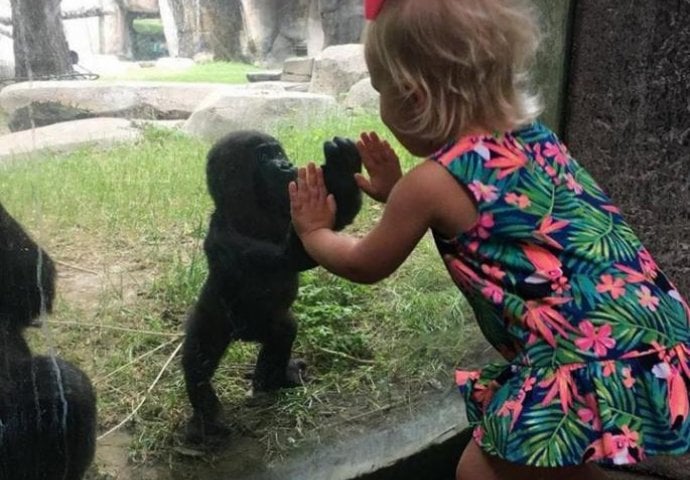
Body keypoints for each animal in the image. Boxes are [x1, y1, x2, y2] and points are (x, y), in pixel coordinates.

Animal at [180, 128, 362, 442]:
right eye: (265, 156)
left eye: (279, 152)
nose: (286, 165)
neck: (248, 209)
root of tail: (241, 335)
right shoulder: (225, 236)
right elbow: (292, 256)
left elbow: (333, 222)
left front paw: (342, 165)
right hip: (214, 315)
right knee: (197, 361)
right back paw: (206, 417)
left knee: (282, 332)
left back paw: (272, 380)